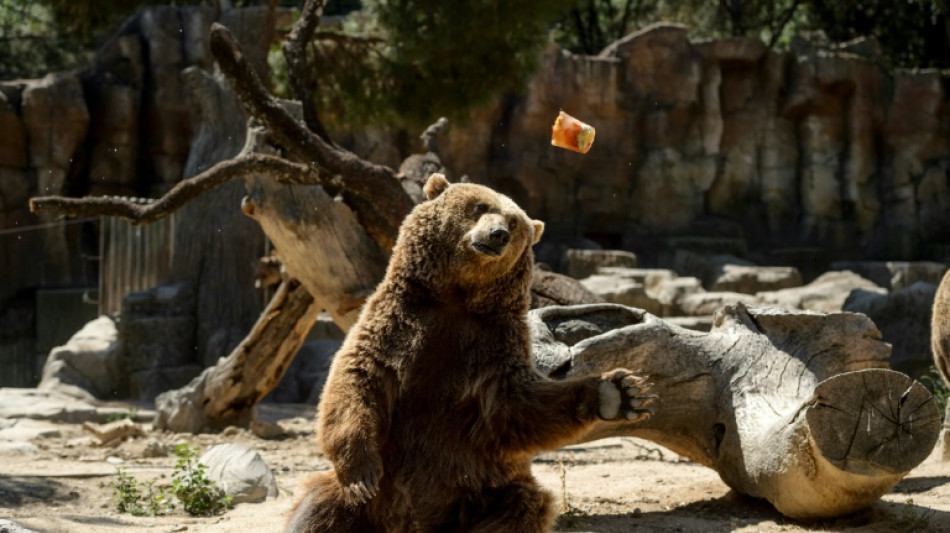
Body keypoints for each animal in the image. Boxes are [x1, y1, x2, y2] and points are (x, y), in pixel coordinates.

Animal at [285, 173, 655, 532]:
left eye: (515, 223)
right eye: (480, 206)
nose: (498, 234)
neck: (457, 297)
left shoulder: (491, 346)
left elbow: (518, 405)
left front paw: (618, 392)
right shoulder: (394, 325)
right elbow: (356, 381)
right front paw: (361, 475)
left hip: (481, 492)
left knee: (520, 508)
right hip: (368, 502)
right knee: (319, 509)